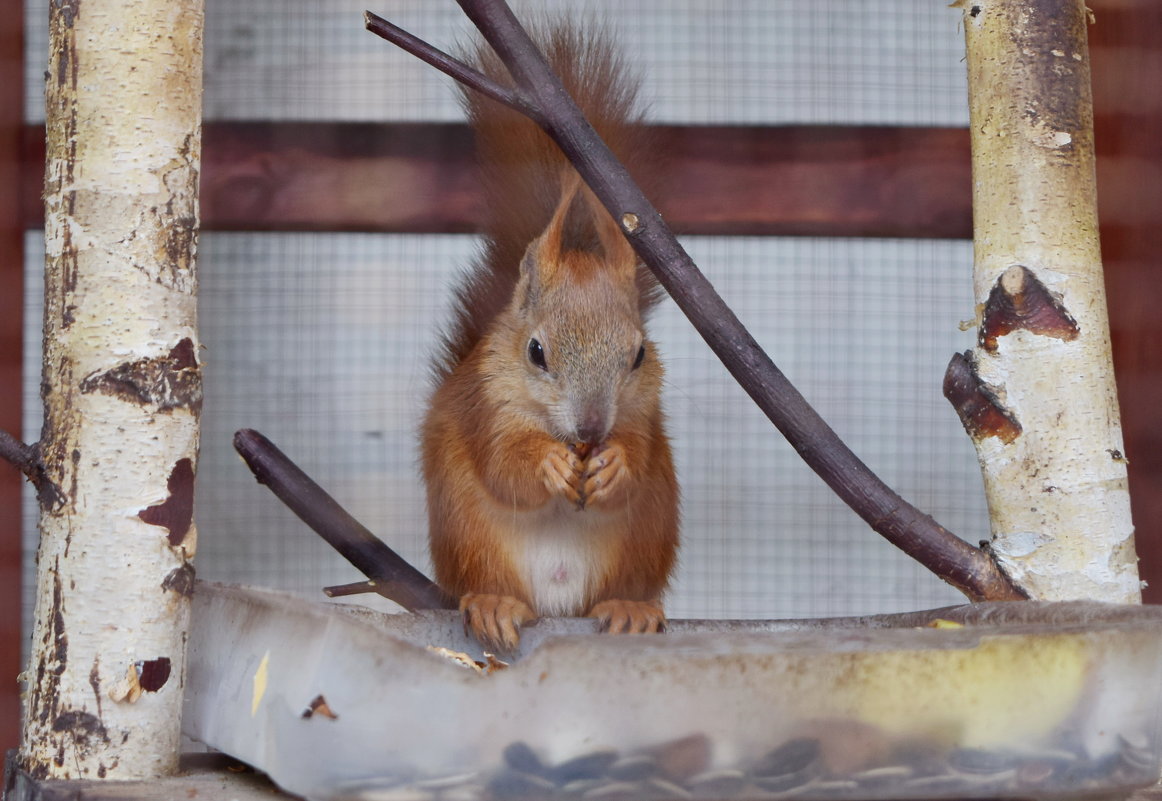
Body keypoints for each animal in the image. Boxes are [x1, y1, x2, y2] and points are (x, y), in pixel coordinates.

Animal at [422, 23, 678, 651]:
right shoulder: (486, 402)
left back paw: (630, 608)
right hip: (470, 536)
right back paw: (494, 603)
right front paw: (548, 467)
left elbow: (637, 452)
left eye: (639, 354)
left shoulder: (643, 412)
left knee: (622, 585)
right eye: (535, 352)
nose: (590, 429)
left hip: (646, 537)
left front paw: (613, 464)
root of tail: (560, 604)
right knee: (488, 580)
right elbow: (504, 463)